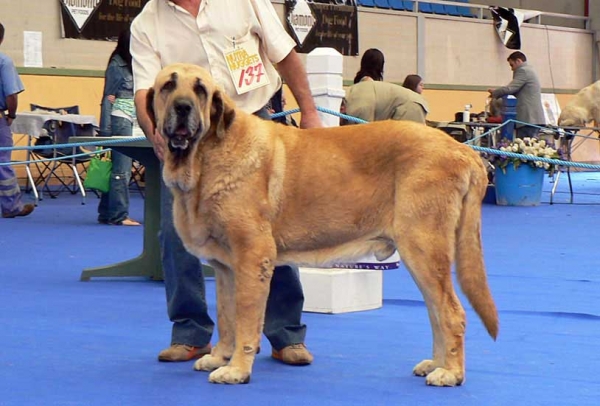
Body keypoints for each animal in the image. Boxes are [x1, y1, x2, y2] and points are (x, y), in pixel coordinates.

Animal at [148, 62, 500, 386]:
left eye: (200, 90)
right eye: (168, 86)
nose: (183, 107)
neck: (207, 156)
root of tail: (463, 151)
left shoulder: (252, 258)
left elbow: (246, 320)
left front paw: (237, 369)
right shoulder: (226, 268)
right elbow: (226, 316)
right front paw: (220, 356)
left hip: (423, 250)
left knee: (452, 312)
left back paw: (451, 373)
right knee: (436, 312)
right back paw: (435, 363)